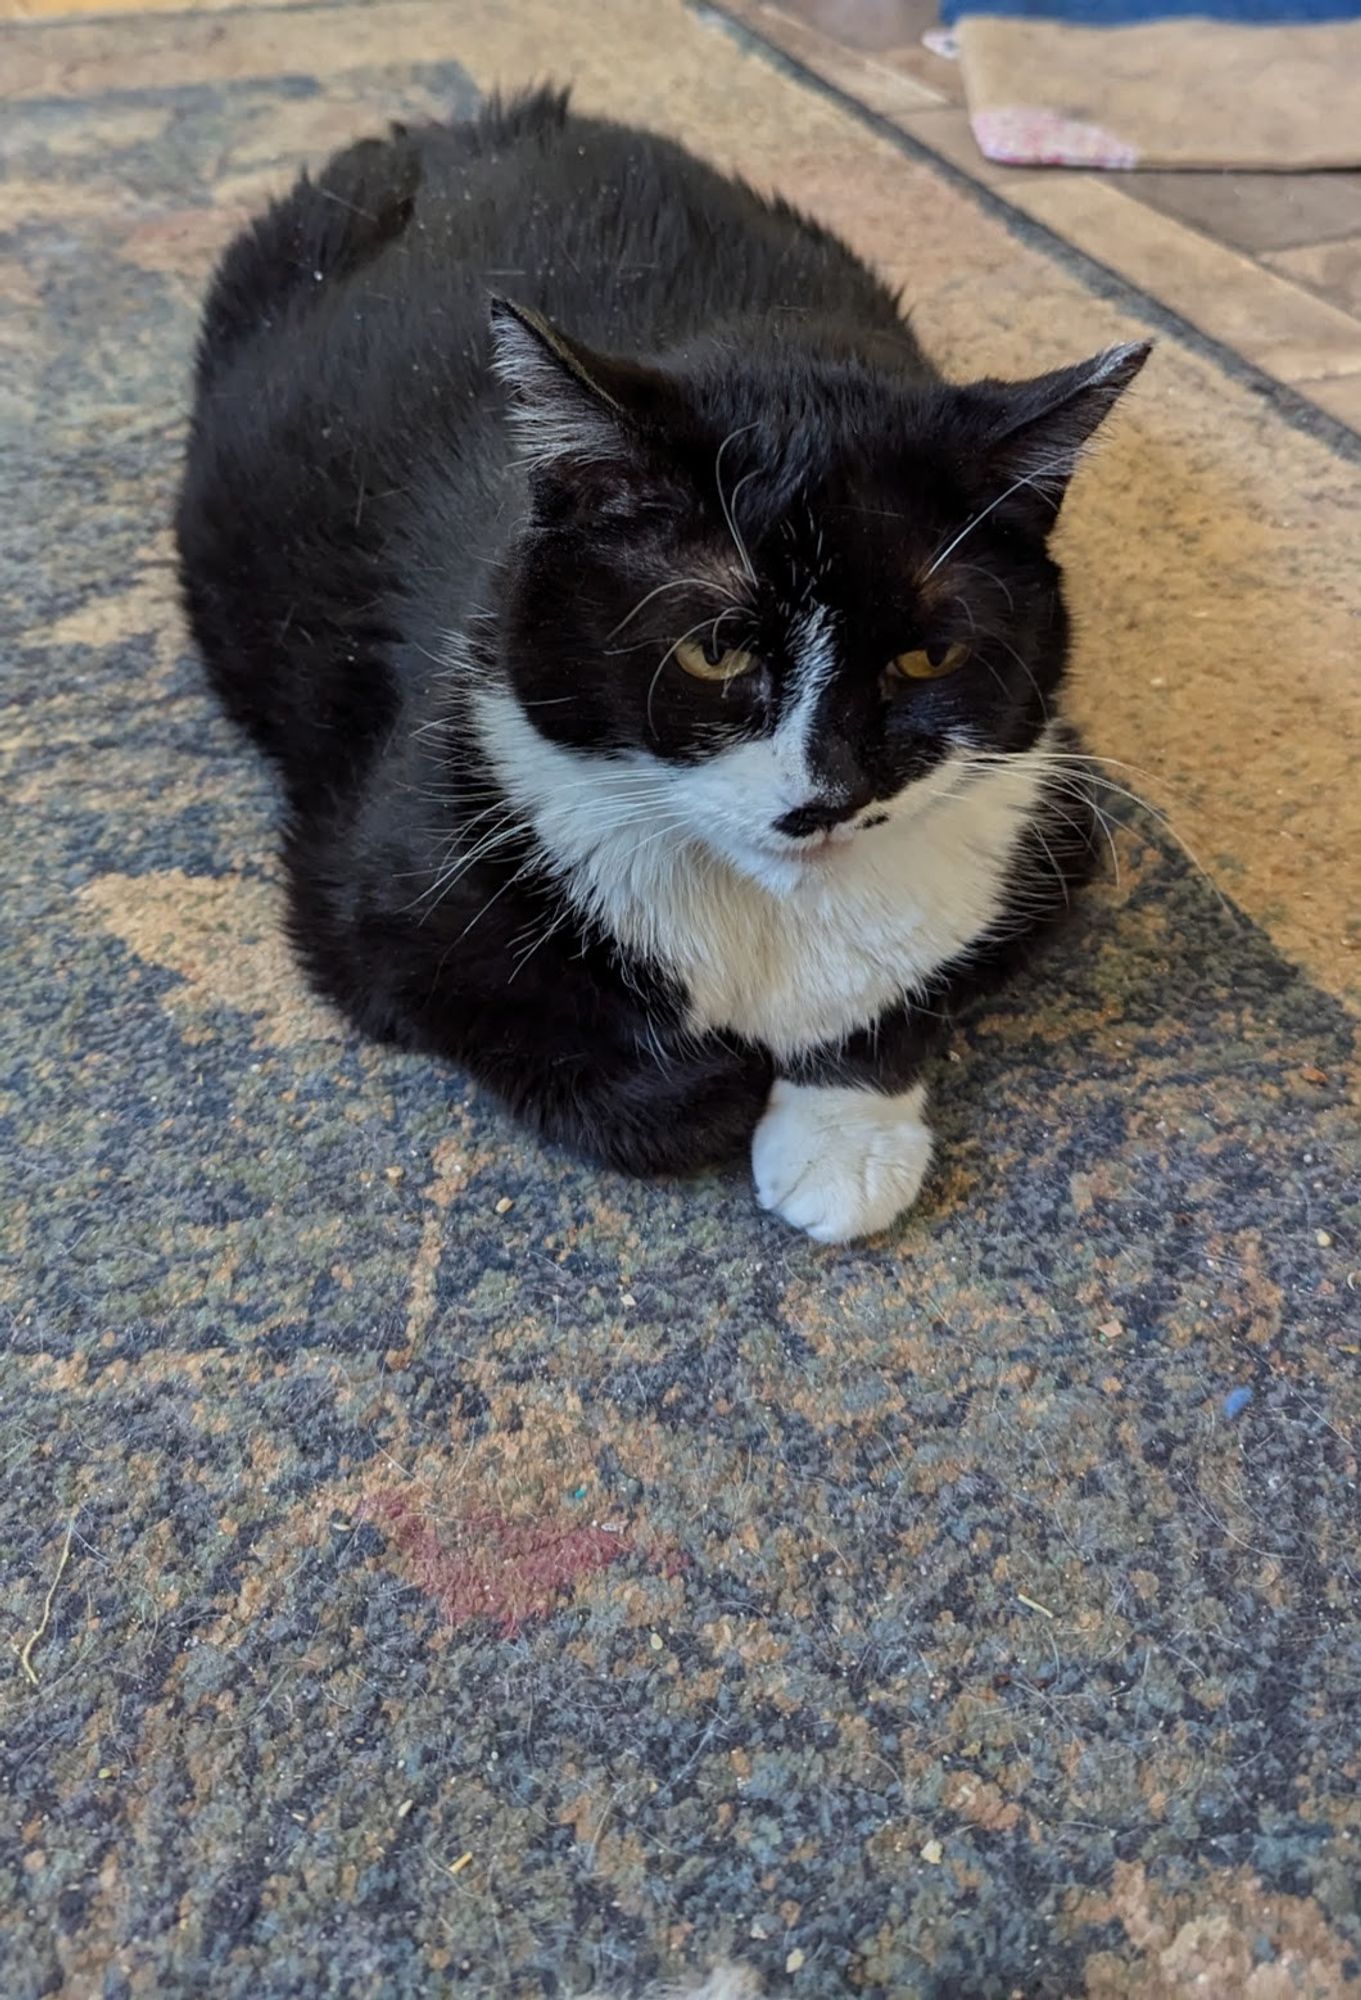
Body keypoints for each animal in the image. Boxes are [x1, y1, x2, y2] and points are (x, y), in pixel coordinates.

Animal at [175, 97, 1144, 1248]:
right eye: (714, 648)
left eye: (926, 655)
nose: (825, 796)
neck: (765, 916)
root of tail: (459, 124)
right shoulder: (373, 885)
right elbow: (507, 1019)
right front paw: (711, 1085)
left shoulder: (1051, 816)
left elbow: (916, 983)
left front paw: (844, 1137)